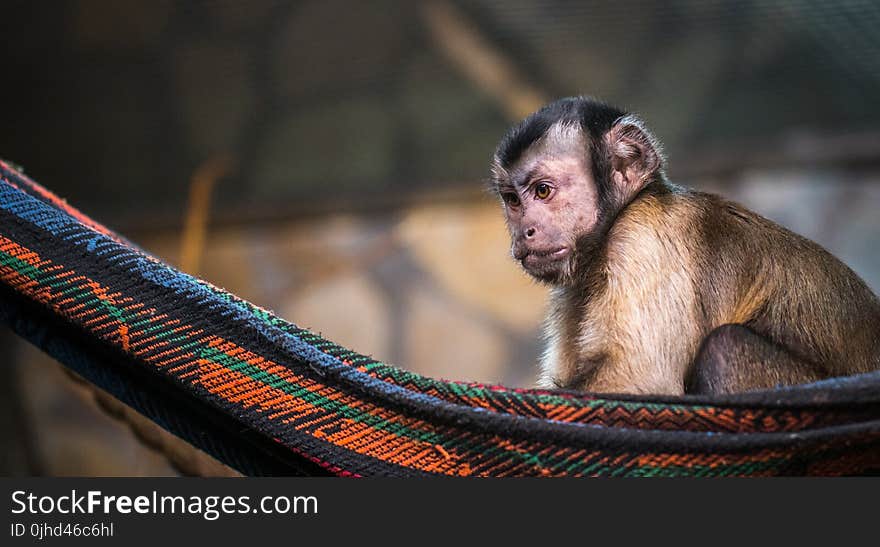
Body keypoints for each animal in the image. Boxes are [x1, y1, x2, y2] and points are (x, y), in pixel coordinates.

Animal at [488, 96, 880, 396]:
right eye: (513, 200)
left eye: (543, 191)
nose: (524, 231)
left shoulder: (643, 236)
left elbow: (641, 380)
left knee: (725, 348)